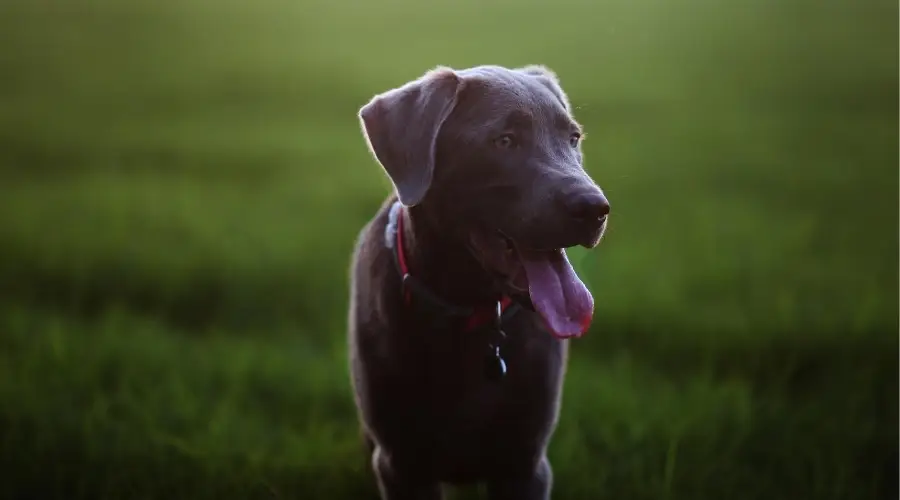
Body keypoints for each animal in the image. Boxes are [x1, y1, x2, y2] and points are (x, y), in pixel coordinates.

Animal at [348, 64, 608, 498]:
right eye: (504, 141)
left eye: (573, 138)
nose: (595, 209)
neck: (468, 311)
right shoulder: (401, 463)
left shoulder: (526, 463)